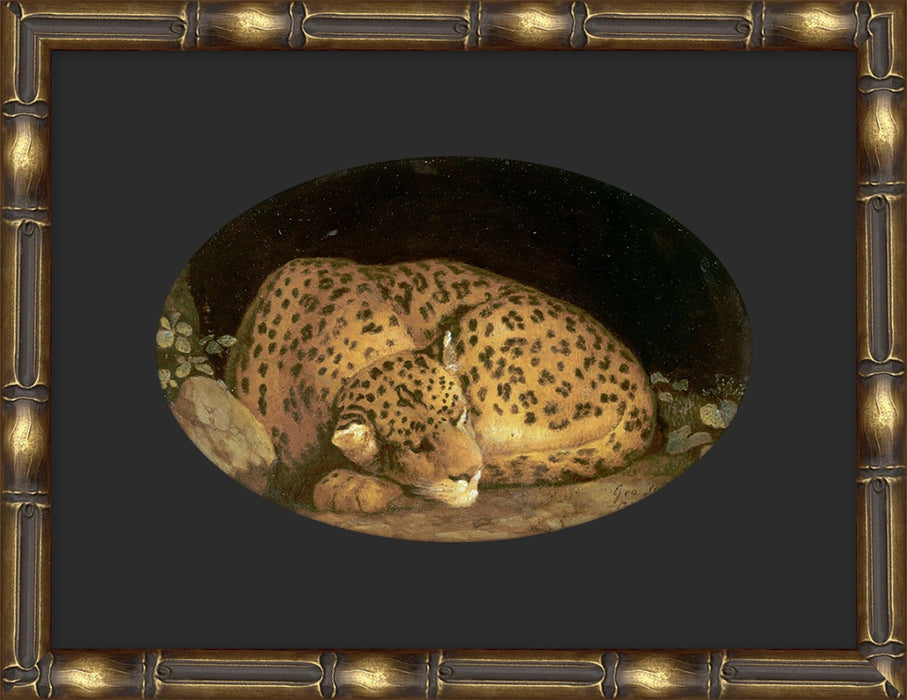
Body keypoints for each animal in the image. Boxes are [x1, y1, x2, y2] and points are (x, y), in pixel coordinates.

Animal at [226, 257, 656, 513]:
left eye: (461, 416)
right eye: (416, 446)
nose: (470, 473)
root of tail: (640, 383)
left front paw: (352, 485)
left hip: (483, 324)